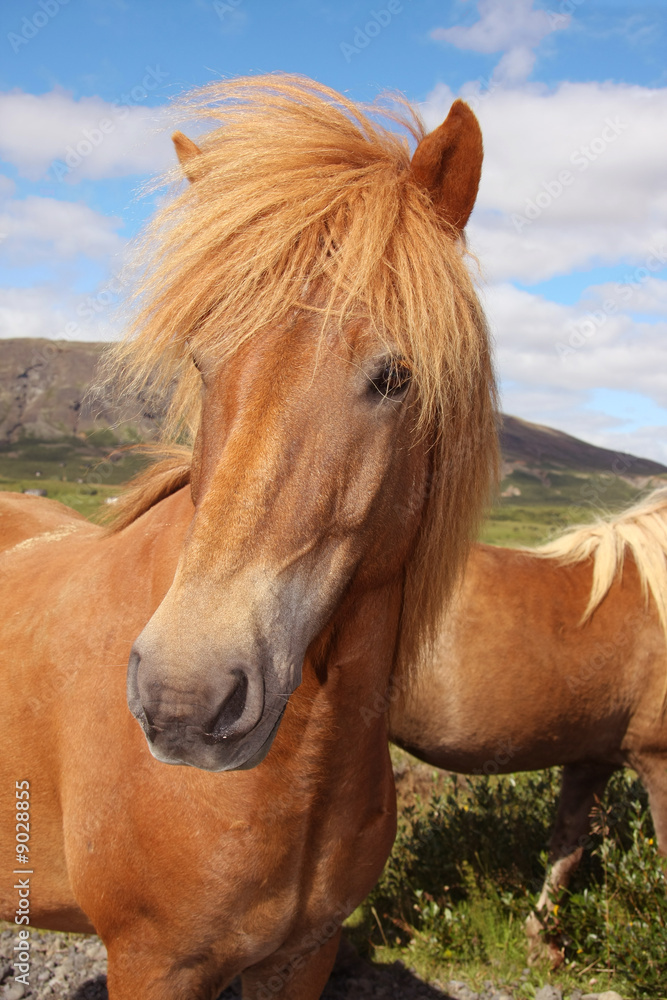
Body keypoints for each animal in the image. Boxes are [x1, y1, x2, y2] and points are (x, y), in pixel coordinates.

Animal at [0, 78, 496, 1000]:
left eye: (395, 376)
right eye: (202, 361)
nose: (182, 698)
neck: (299, 775)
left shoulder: (303, 957)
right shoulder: (154, 962)